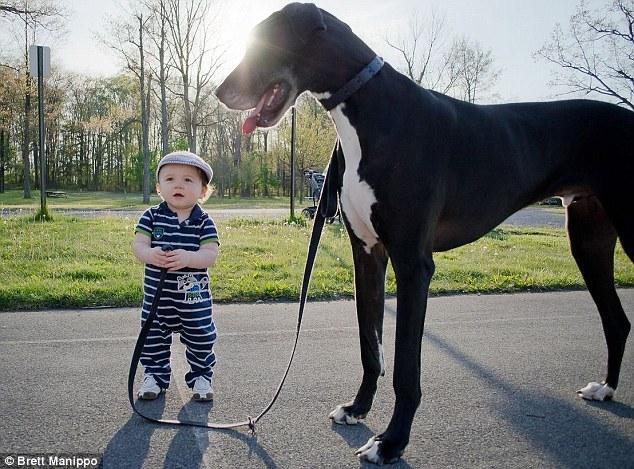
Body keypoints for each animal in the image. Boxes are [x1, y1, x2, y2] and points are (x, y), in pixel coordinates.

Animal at [215, 2, 628, 464]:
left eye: (264, 41)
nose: (219, 92)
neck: (369, 110)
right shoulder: (367, 255)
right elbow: (370, 346)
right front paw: (358, 408)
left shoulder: (413, 264)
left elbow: (404, 369)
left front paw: (391, 442)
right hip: (587, 239)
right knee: (617, 320)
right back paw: (605, 388)